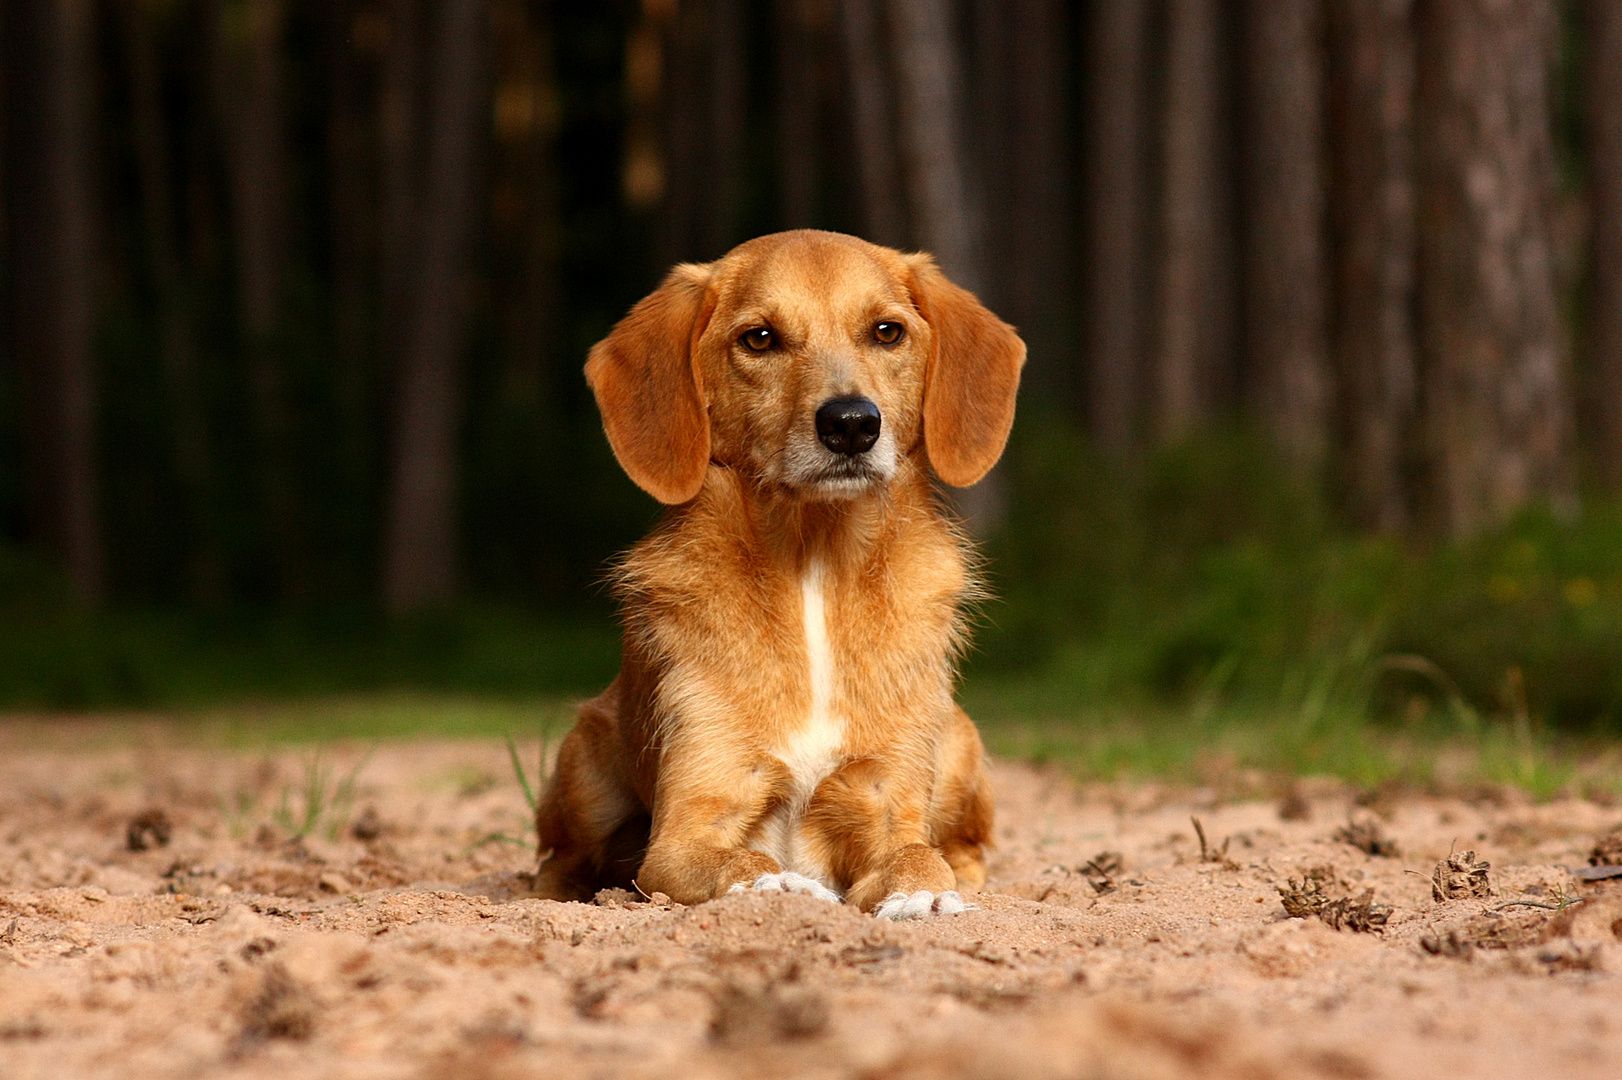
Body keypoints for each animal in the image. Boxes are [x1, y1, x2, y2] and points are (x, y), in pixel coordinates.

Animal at [535, 227, 1025, 914]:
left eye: (887, 331)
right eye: (760, 338)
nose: (851, 423)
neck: (812, 566)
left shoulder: (885, 795)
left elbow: (918, 856)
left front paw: (923, 895)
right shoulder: (687, 829)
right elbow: (739, 859)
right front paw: (777, 885)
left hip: (958, 743)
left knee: (966, 847)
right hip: (585, 763)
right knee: (558, 861)